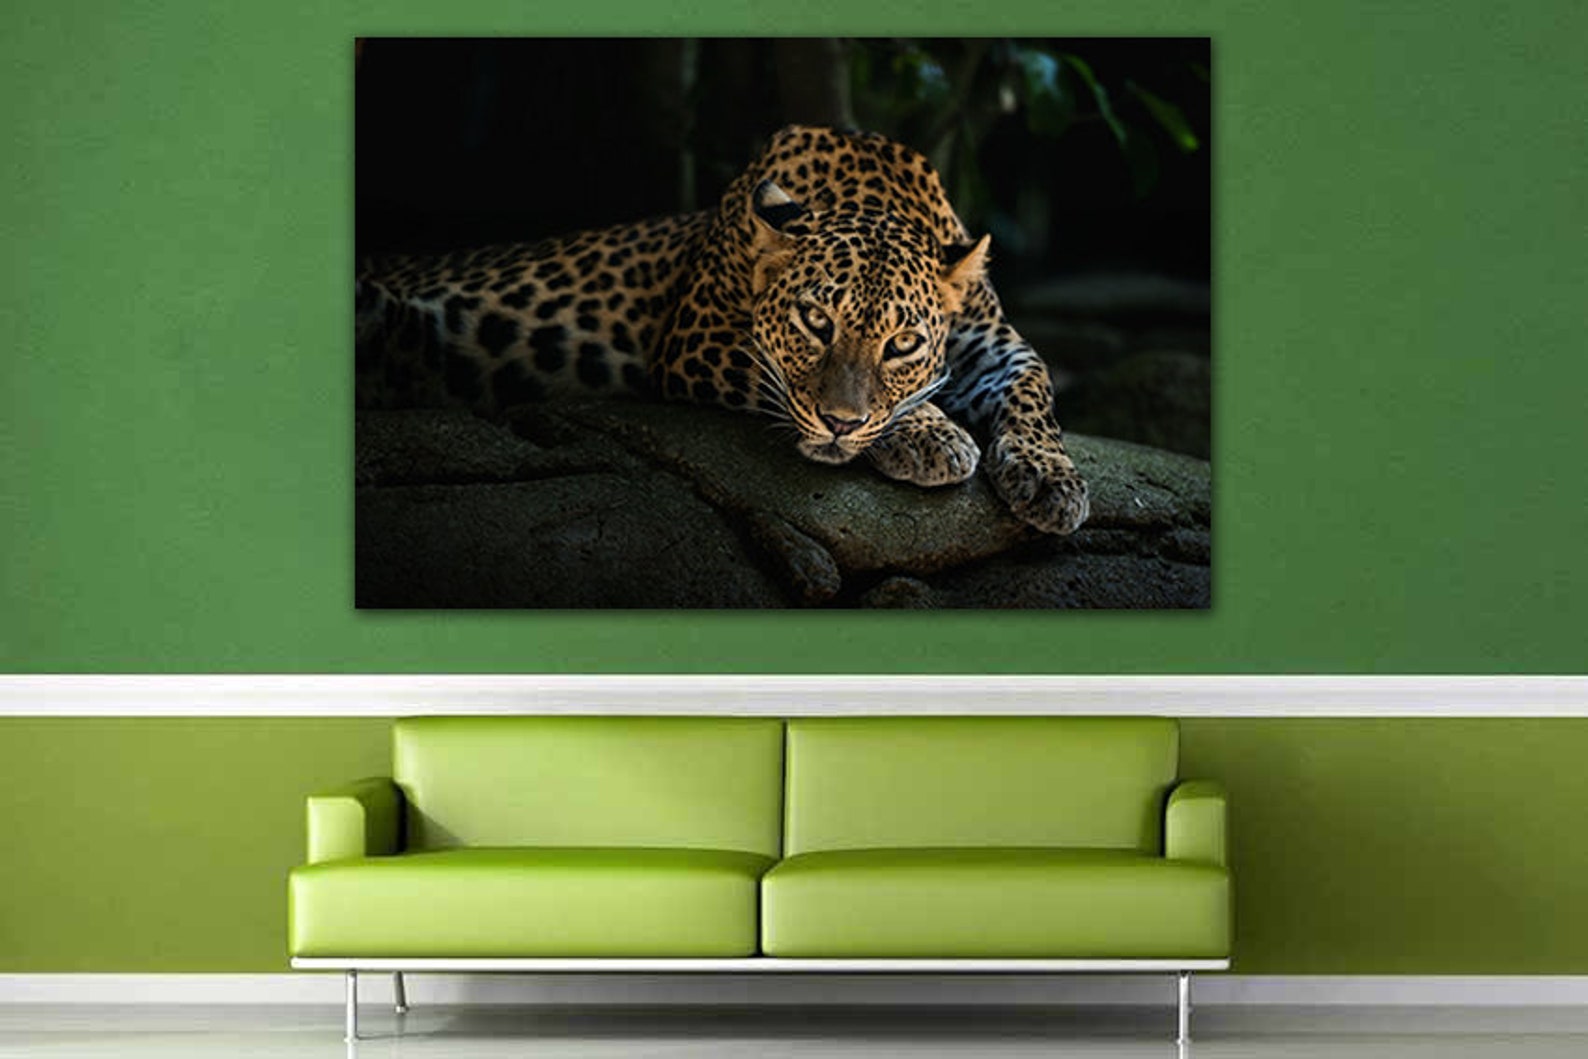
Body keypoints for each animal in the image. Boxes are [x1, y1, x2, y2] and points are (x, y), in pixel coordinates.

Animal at [357, 124, 1089, 534]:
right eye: (815, 321)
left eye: (902, 343)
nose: (841, 425)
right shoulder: (697, 341)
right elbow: (789, 384)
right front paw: (933, 435)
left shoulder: (995, 345)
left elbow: (1036, 389)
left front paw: (1051, 479)